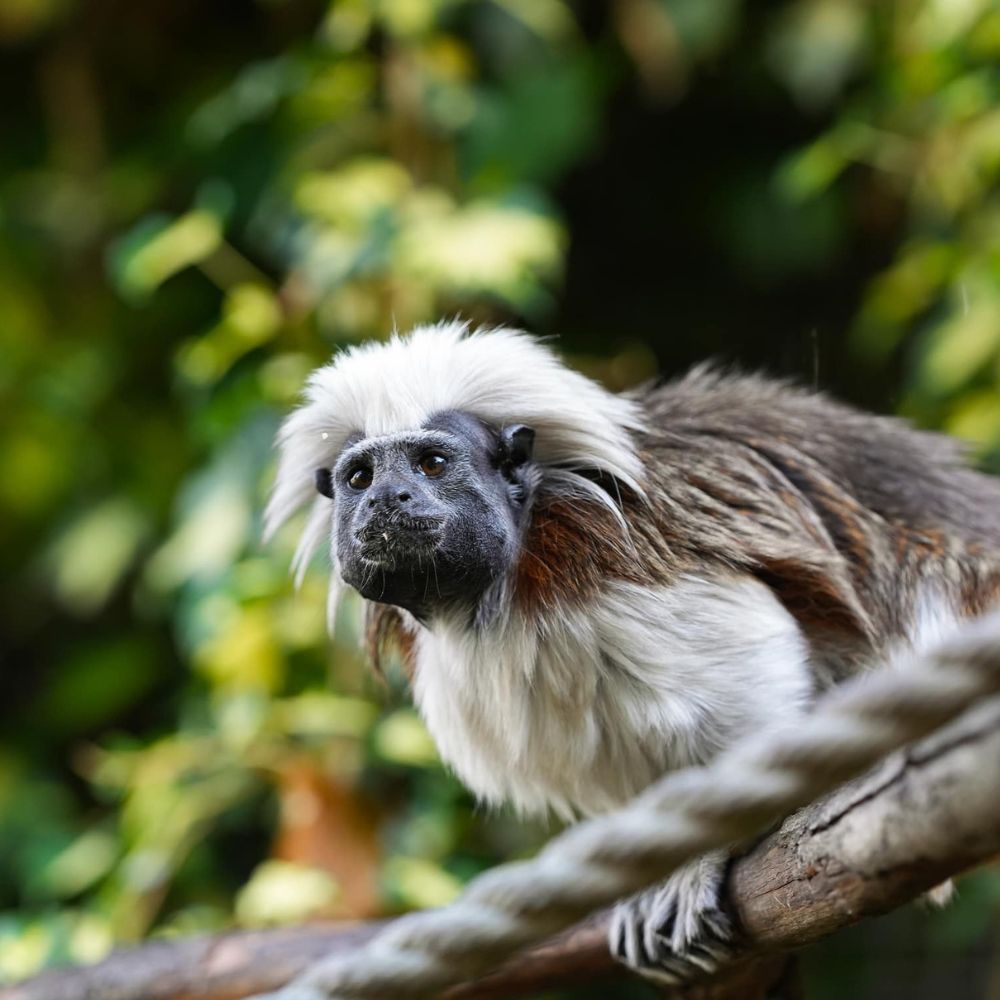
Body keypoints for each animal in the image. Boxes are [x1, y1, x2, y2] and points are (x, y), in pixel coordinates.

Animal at [265, 321, 1000, 983]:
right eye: (360, 477)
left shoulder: (607, 552)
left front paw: (707, 854)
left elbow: (749, 655)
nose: (388, 499)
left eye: (432, 465)